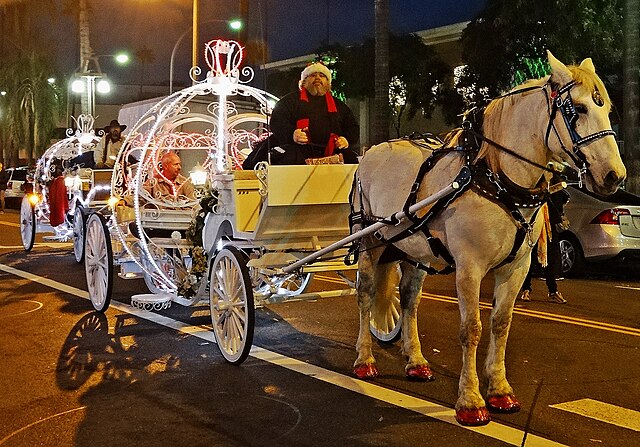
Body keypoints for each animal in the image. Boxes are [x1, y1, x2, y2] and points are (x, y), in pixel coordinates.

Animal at [350, 51, 624, 428]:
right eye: (578, 109)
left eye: (607, 107)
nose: (614, 175)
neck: (495, 177)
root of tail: (372, 151)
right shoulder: (470, 267)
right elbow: (472, 328)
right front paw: (470, 400)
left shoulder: (517, 267)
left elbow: (500, 323)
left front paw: (499, 390)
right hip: (371, 241)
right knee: (365, 295)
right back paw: (364, 360)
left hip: (415, 249)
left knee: (408, 300)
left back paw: (416, 360)